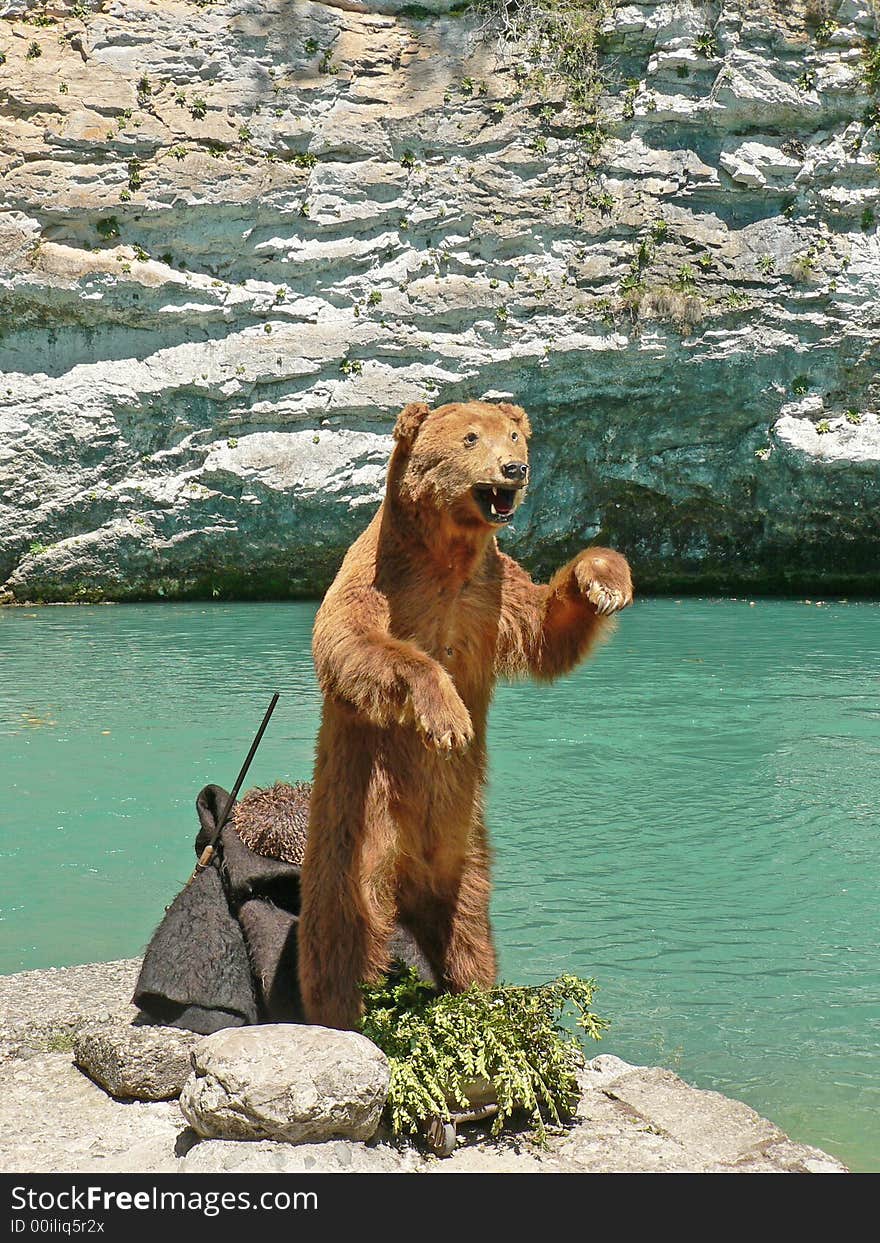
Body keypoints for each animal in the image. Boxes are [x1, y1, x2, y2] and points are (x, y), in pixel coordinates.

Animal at [299, 400, 628, 1029]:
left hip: (466, 850)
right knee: (344, 926)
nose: (514, 470)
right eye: (471, 437)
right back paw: (344, 1011)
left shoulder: (490, 597)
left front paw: (602, 578)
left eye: (516, 435)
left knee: (469, 931)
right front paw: (447, 717)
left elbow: (546, 630)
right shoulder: (379, 581)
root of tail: (411, 882)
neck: (444, 557)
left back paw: (477, 995)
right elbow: (353, 646)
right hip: (361, 822)